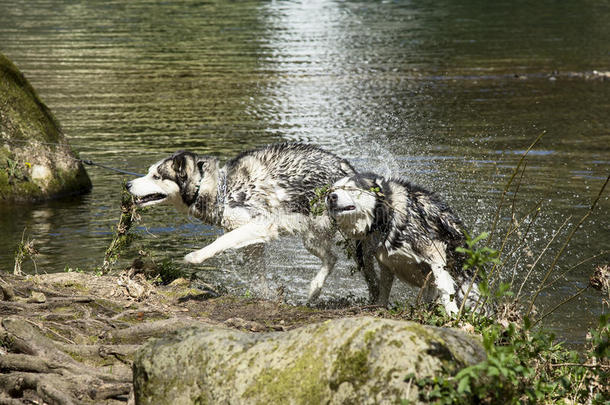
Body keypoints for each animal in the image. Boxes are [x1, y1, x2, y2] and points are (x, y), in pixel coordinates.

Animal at [127, 142, 356, 300]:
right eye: (148, 173)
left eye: (156, 176)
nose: (128, 184)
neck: (220, 190)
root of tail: (345, 166)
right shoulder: (253, 243)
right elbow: (257, 273)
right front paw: (266, 295)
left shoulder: (261, 224)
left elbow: (221, 241)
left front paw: (197, 256)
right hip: (311, 238)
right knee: (331, 258)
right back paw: (315, 288)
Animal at [326, 172, 482, 314]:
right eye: (332, 189)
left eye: (351, 188)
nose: (330, 197)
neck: (387, 217)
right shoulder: (386, 264)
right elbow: (384, 290)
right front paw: (380, 308)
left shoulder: (435, 253)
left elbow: (444, 286)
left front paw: (452, 313)